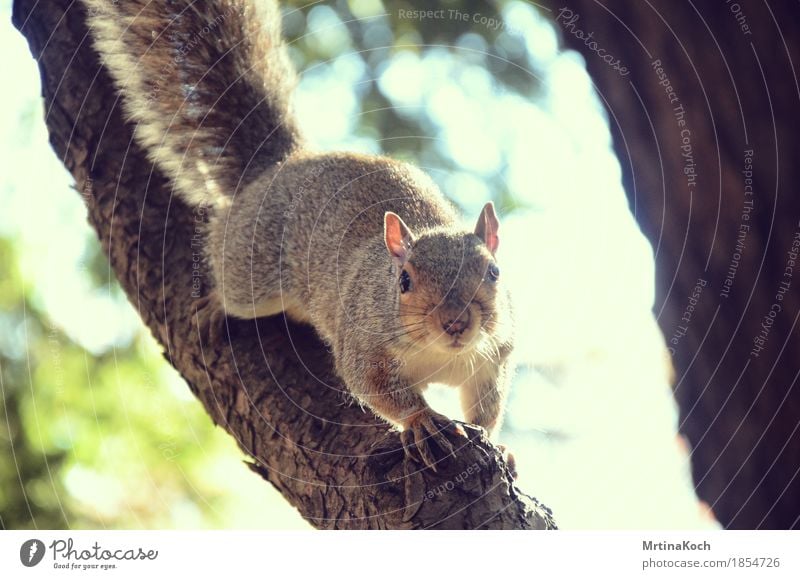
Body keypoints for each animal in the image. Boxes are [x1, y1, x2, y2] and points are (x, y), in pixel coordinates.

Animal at [84, 0, 516, 472]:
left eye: (494, 273)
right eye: (404, 281)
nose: (455, 322)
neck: (440, 353)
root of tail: (282, 165)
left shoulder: (493, 357)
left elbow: (488, 407)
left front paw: (497, 445)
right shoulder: (363, 344)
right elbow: (376, 388)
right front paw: (421, 421)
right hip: (252, 267)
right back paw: (215, 302)